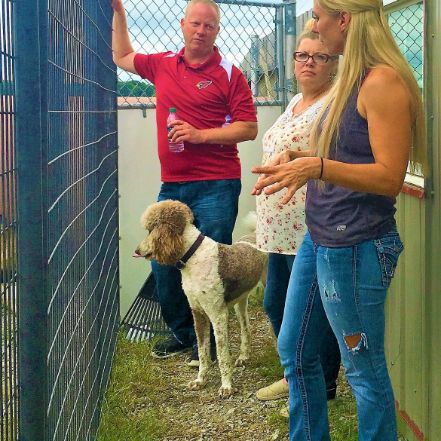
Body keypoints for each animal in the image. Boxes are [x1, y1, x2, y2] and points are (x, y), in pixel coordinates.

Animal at [134, 199, 266, 396]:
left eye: (150, 230)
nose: (137, 250)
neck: (193, 256)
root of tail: (255, 235)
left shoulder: (218, 315)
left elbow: (222, 353)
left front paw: (226, 386)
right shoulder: (198, 313)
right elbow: (203, 352)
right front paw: (200, 380)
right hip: (240, 302)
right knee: (246, 328)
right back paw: (243, 357)